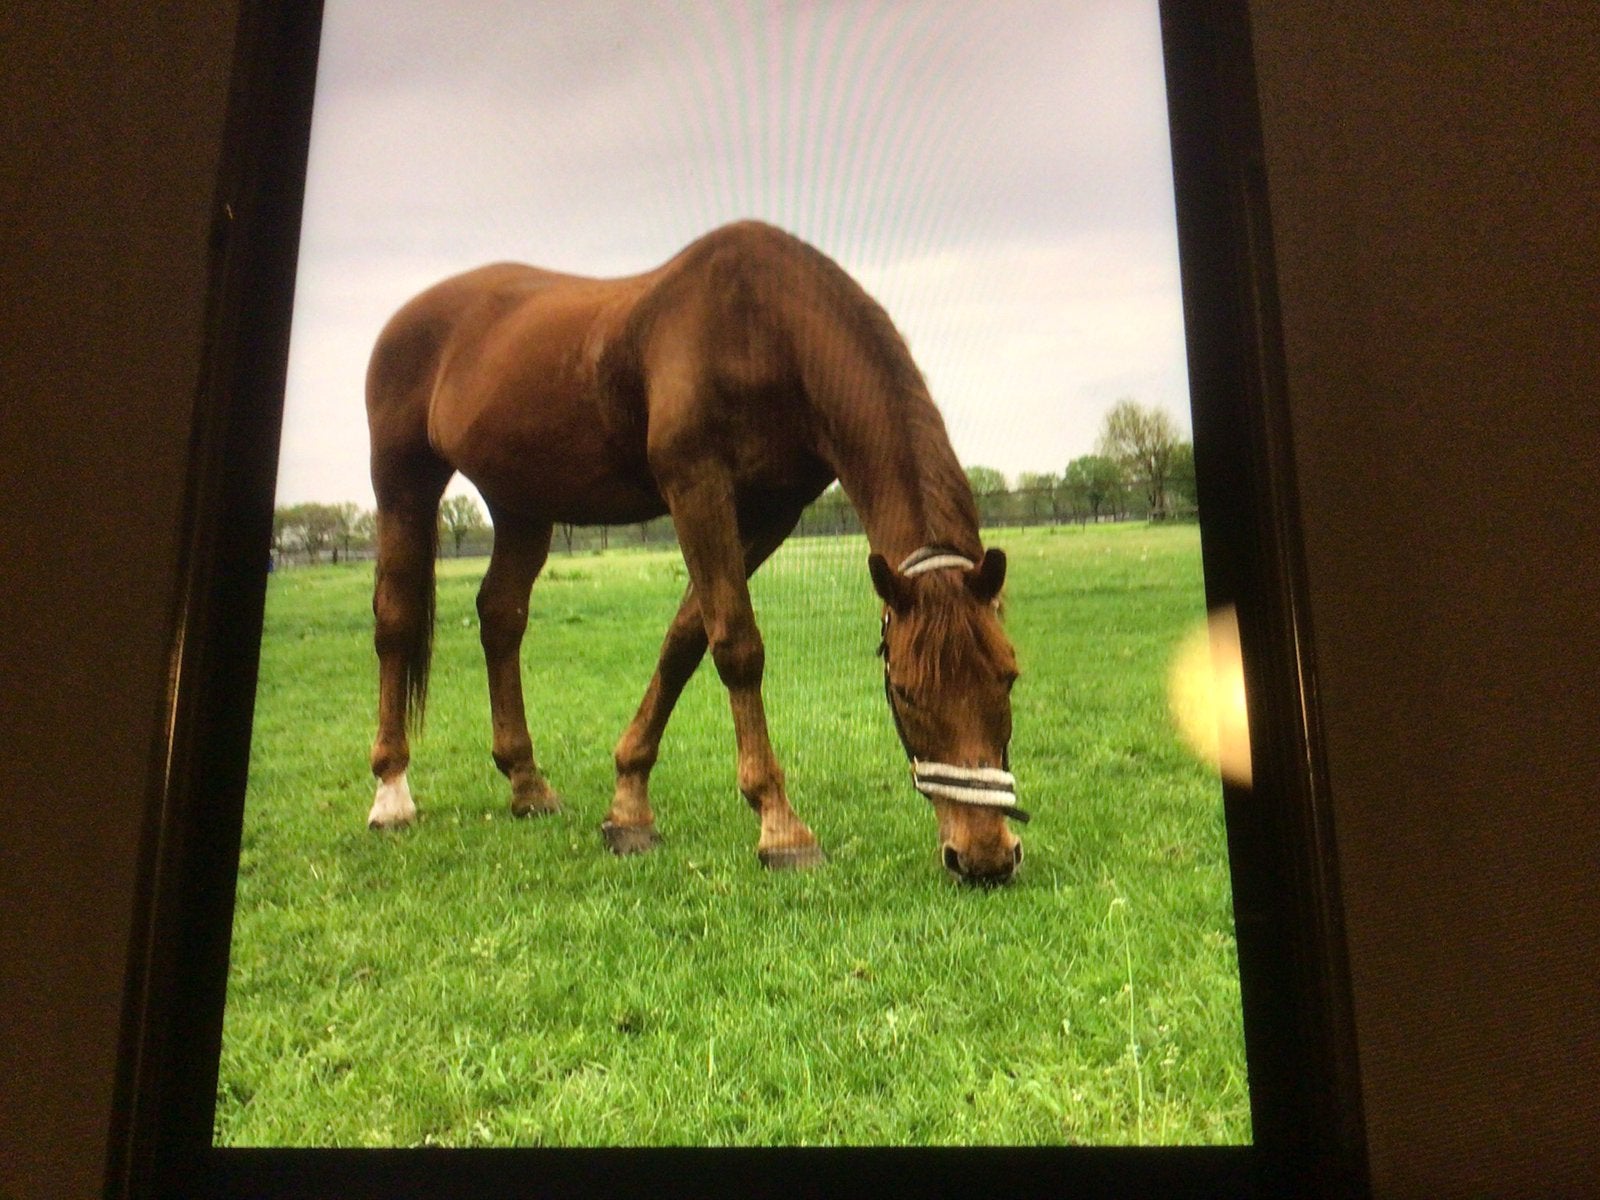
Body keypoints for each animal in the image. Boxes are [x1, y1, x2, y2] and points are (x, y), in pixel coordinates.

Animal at [364, 220, 1027, 883]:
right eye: (905, 690)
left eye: (1010, 676)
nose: (985, 857)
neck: (765, 329)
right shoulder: (697, 488)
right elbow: (736, 644)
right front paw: (780, 826)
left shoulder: (769, 511)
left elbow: (685, 639)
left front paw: (629, 805)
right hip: (403, 482)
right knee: (396, 620)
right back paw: (391, 791)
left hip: (522, 505)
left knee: (501, 617)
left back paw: (526, 783)